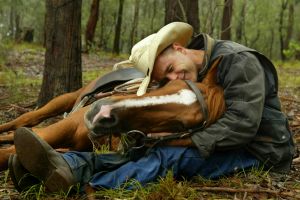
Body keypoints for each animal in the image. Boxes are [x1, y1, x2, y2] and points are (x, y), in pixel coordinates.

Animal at [0, 61, 225, 170]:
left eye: (181, 125)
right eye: (165, 83)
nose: (100, 112)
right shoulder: (62, 127)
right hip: (62, 101)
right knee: (26, 121)